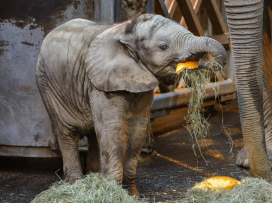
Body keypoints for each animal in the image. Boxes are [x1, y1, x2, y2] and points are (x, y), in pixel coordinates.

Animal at [36, 13, 227, 195]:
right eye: (163, 46)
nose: (205, 62)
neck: (125, 31)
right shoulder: (102, 84)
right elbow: (112, 130)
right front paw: (112, 192)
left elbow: (137, 131)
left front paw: (133, 194)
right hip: (48, 87)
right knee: (68, 134)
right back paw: (75, 184)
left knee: (94, 134)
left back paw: (94, 176)